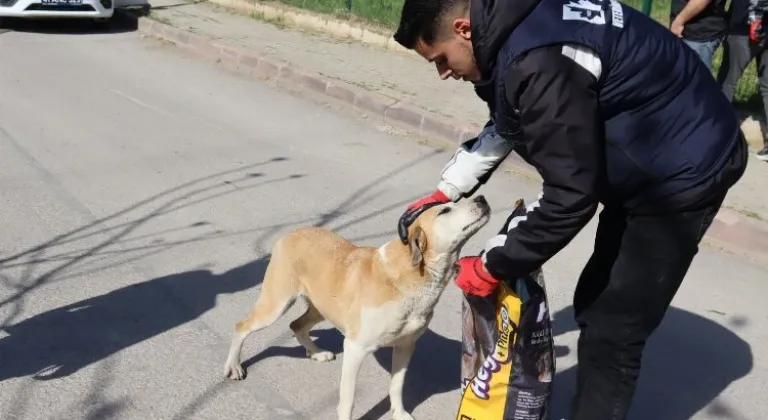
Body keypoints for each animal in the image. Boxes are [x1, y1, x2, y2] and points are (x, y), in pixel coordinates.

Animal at [225, 195, 488, 418]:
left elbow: (396, 386)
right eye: (445, 210)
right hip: (277, 303)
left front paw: (399, 413)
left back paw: (316, 353)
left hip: (321, 308)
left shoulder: (405, 346)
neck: (410, 275)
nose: (482, 198)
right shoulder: (355, 348)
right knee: (241, 326)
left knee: (296, 325)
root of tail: (292, 232)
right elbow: (348, 399)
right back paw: (234, 366)